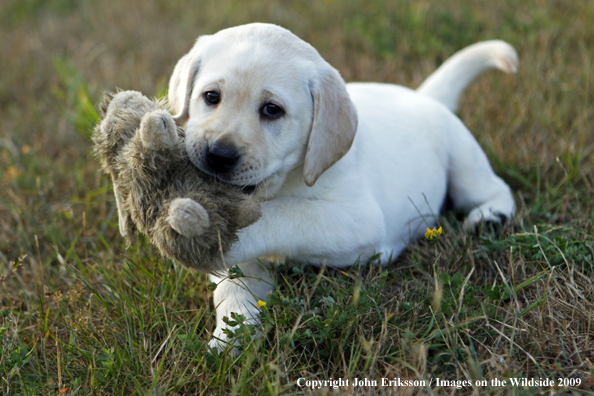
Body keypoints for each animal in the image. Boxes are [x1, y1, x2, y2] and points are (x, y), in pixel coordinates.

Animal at [164, 23, 516, 350]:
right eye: (211, 97)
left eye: (272, 110)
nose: (218, 155)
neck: (283, 181)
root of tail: (423, 96)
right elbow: (235, 284)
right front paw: (231, 336)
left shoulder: (359, 219)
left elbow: (284, 214)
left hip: (463, 158)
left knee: (493, 188)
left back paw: (490, 216)